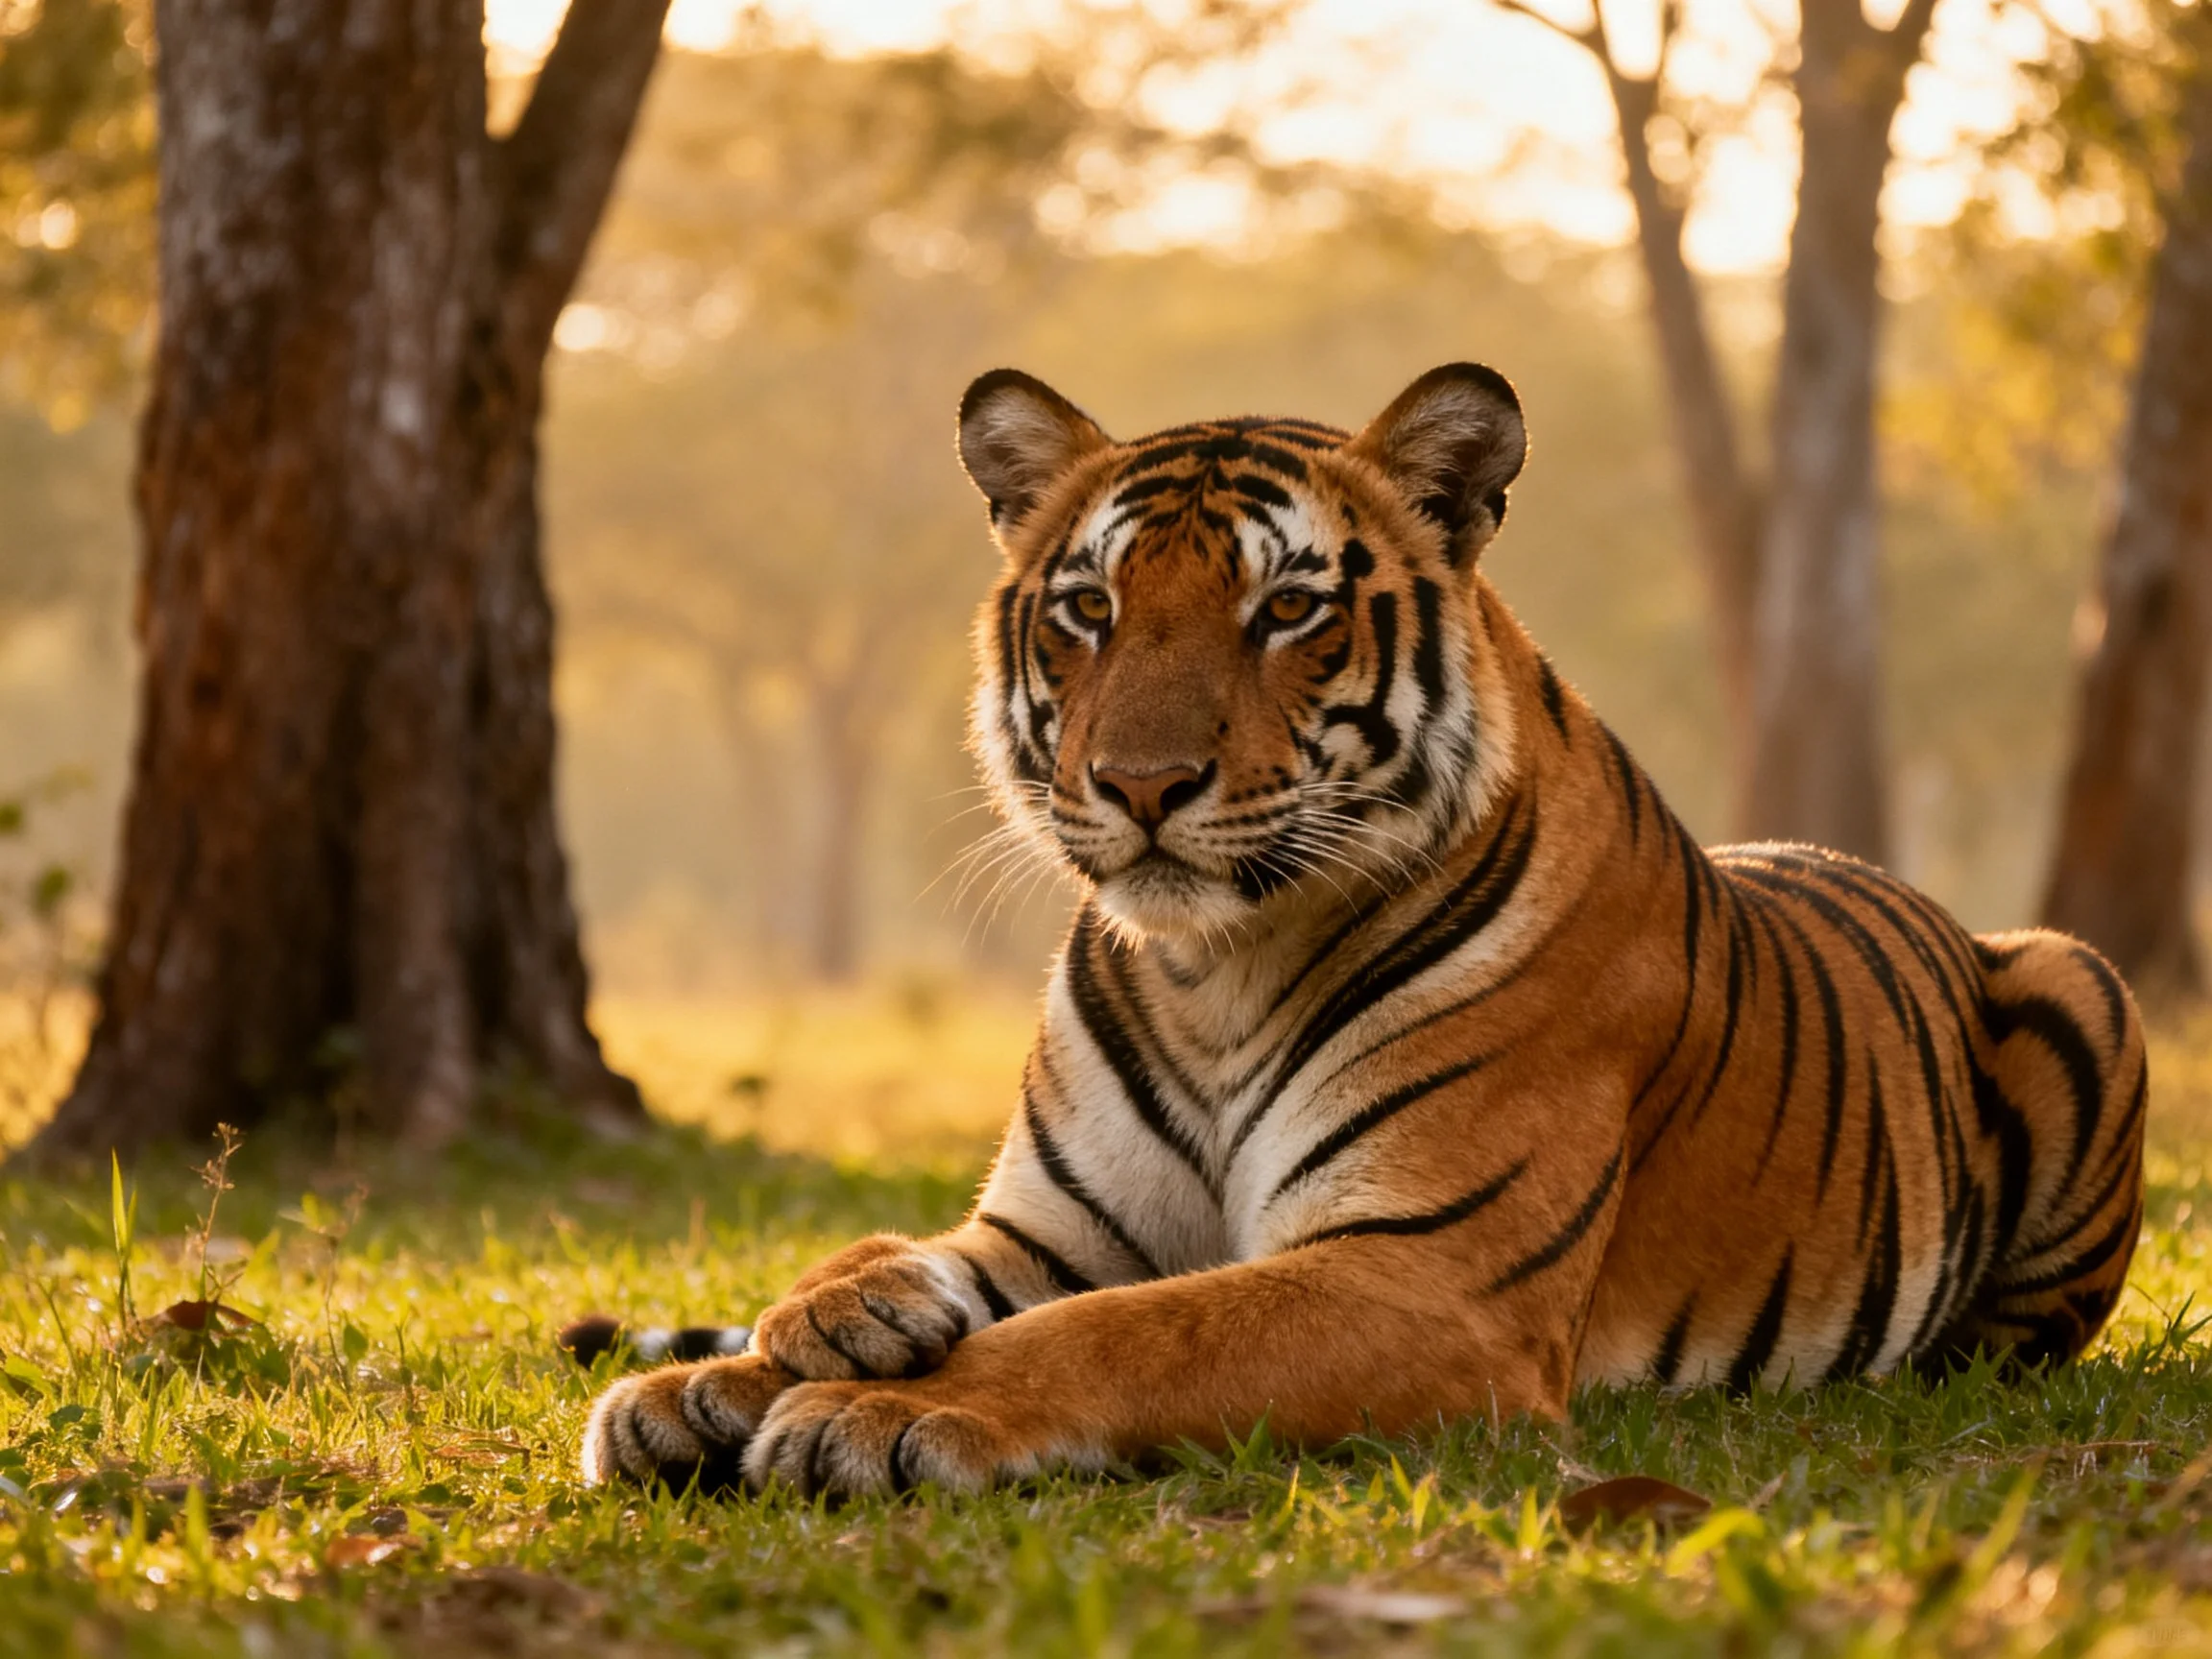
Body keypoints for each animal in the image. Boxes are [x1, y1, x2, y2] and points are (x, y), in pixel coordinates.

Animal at [576, 362, 2147, 1498]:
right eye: (1088, 608)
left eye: (1287, 609)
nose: (1140, 783)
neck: (1211, 971)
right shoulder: (1056, 1228)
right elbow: (928, 1260)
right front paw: (740, 1369)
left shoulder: (1427, 1270)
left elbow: (1139, 1327)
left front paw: (869, 1411)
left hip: (2084, 979)